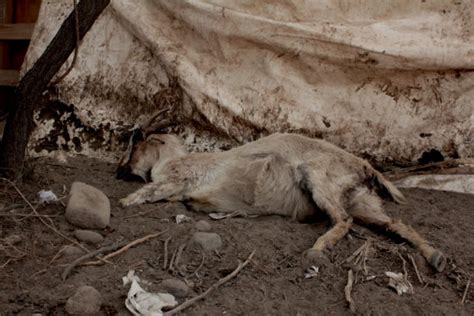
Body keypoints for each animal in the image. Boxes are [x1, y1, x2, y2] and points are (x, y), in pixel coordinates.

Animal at [116, 117, 446, 272]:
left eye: (137, 144)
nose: (120, 171)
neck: (175, 159)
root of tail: (362, 165)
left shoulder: (176, 181)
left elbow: (148, 192)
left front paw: (123, 201)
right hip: (362, 201)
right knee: (396, 225)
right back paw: (436, 257)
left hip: (318, 178)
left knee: (342, 220)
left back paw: (317, 248)